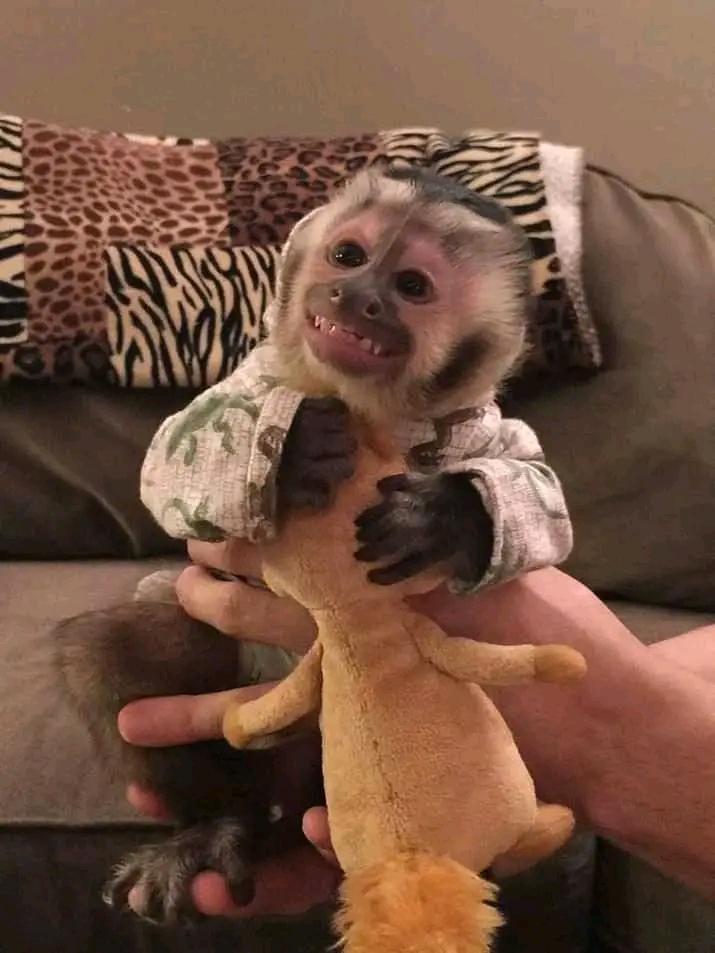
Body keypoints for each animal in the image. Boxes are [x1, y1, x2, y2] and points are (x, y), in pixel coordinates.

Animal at [53, 165, 573, 930]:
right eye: (348, 255)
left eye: (411, 285)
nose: (355, 296)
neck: (369, 408)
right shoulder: (255, 377)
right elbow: (169, 457)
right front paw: (293, 453)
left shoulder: (478, 423)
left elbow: (542, 499)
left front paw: (443, 517)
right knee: (107, 649)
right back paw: (216, 826)